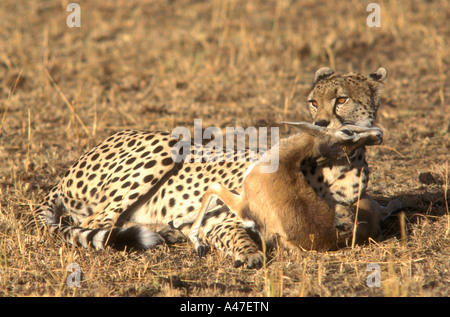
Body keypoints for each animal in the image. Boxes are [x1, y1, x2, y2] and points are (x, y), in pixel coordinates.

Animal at [32, 66, 400, 266]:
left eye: (342, 99)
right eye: (313, 101)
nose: (321, 122)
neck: (337, 166)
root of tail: (65, 172)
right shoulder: (223, 218)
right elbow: (237, 234)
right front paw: (248, 254)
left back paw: (164, 230)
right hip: (170, 143)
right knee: (95, 224)